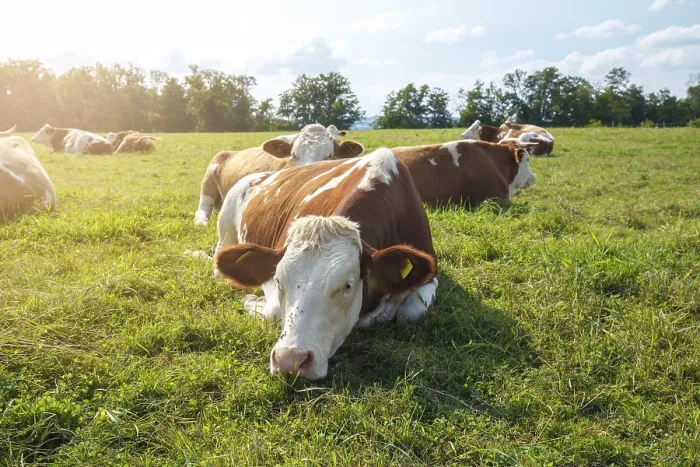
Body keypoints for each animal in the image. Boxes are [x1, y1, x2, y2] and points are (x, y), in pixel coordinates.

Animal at [194, 123, 364, 226]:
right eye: (294, 155)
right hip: (208, 183)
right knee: (203, 208)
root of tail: (229, 152)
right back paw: (201, 222)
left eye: (330, 156)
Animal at [213, 148, 438, 380]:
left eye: (347, 285)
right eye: (278, 280)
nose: (289, 360)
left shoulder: (430, 274)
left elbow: (410, 312)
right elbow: (273, 311)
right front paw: (251, 301)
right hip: (225, 226)